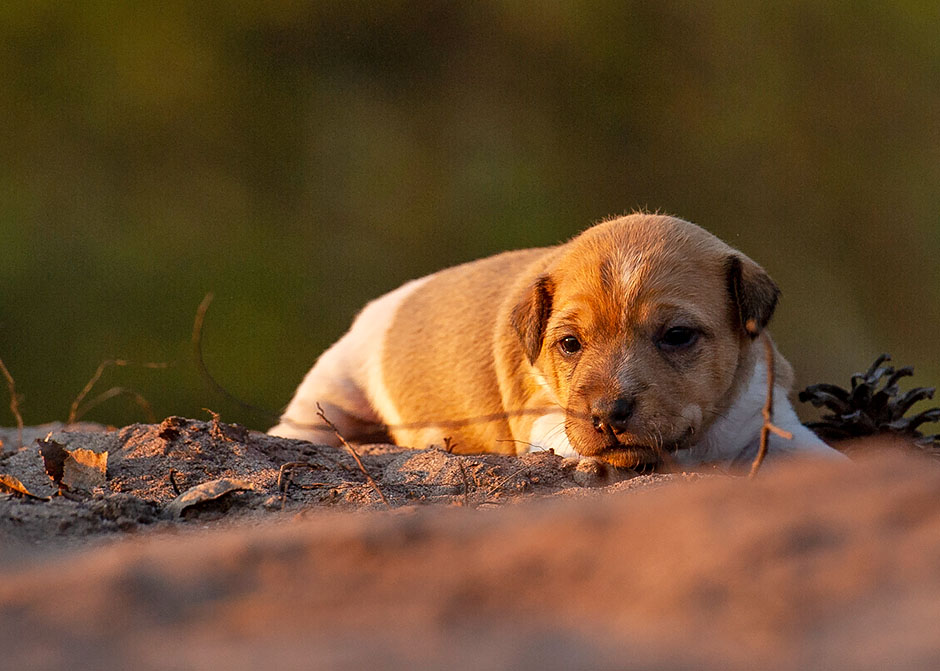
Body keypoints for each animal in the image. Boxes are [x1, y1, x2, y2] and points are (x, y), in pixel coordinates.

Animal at [268, 213, 840, 470]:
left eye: (677, 337)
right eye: (569, 343)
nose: (607, 415)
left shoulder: (768, 419)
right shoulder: (545, 422)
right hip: (330, 390)